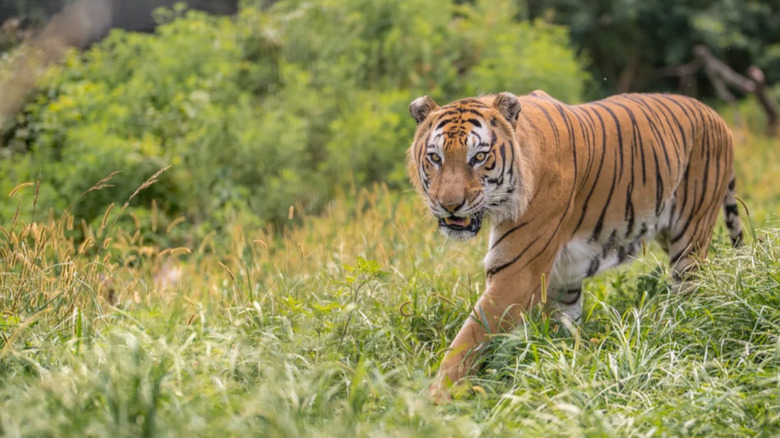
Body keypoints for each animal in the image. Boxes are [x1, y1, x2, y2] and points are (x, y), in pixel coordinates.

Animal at [406, 90, 743, 400]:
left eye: (478, 157)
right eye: (435, 157)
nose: (450, 205)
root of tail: (718, 117)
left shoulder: (516, 275)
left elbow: (468, 339)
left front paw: (434, 399)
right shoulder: (560, 280)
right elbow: (561, 329)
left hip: (690, 239)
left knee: (690, 290)